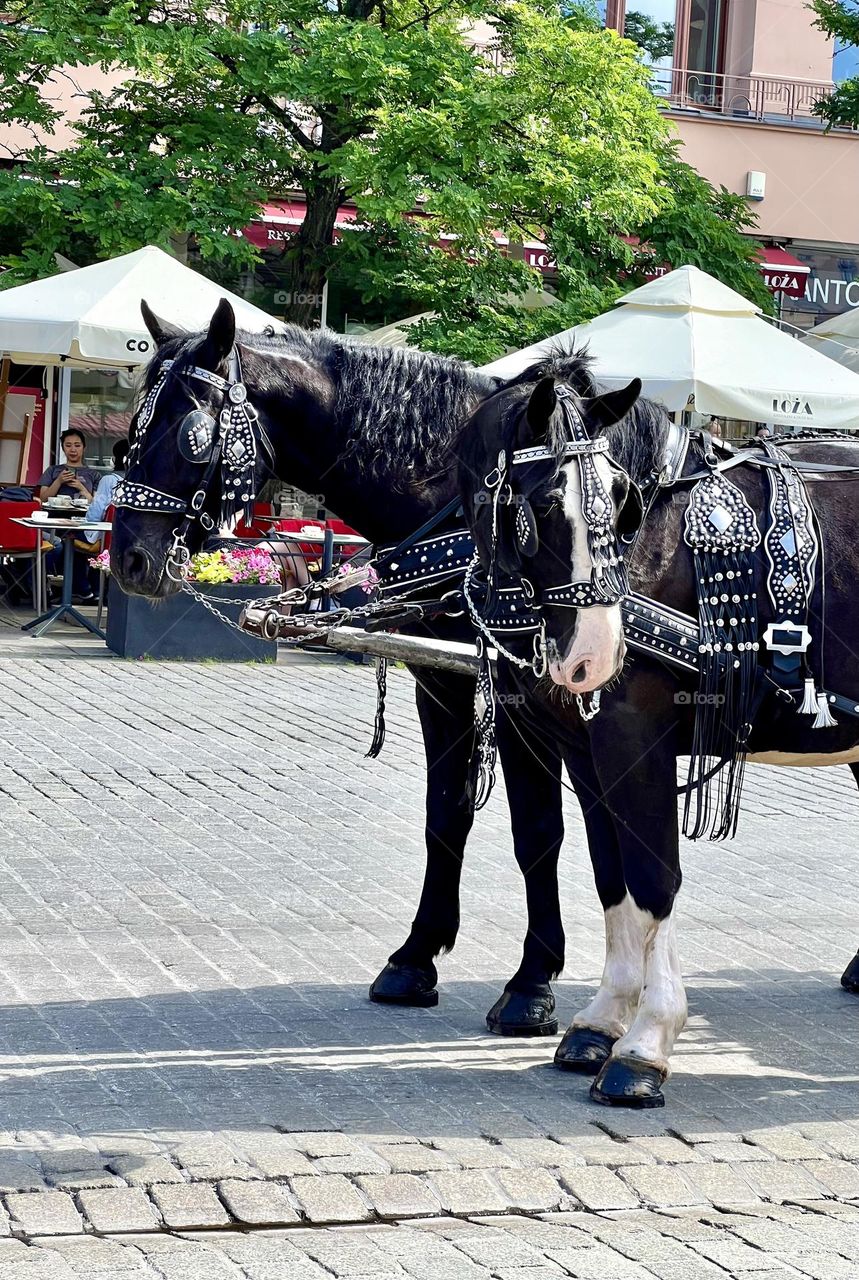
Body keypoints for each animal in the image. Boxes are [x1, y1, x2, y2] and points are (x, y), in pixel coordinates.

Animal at [456, 365, 859, 1106]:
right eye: (542, 504)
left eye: (620, 500)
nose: (595, 654)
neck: (658, 549)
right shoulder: (584, 751)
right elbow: (612, 878)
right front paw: (602, 1017)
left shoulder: (632, 738)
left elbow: (653, 876)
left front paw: (647, 1042)